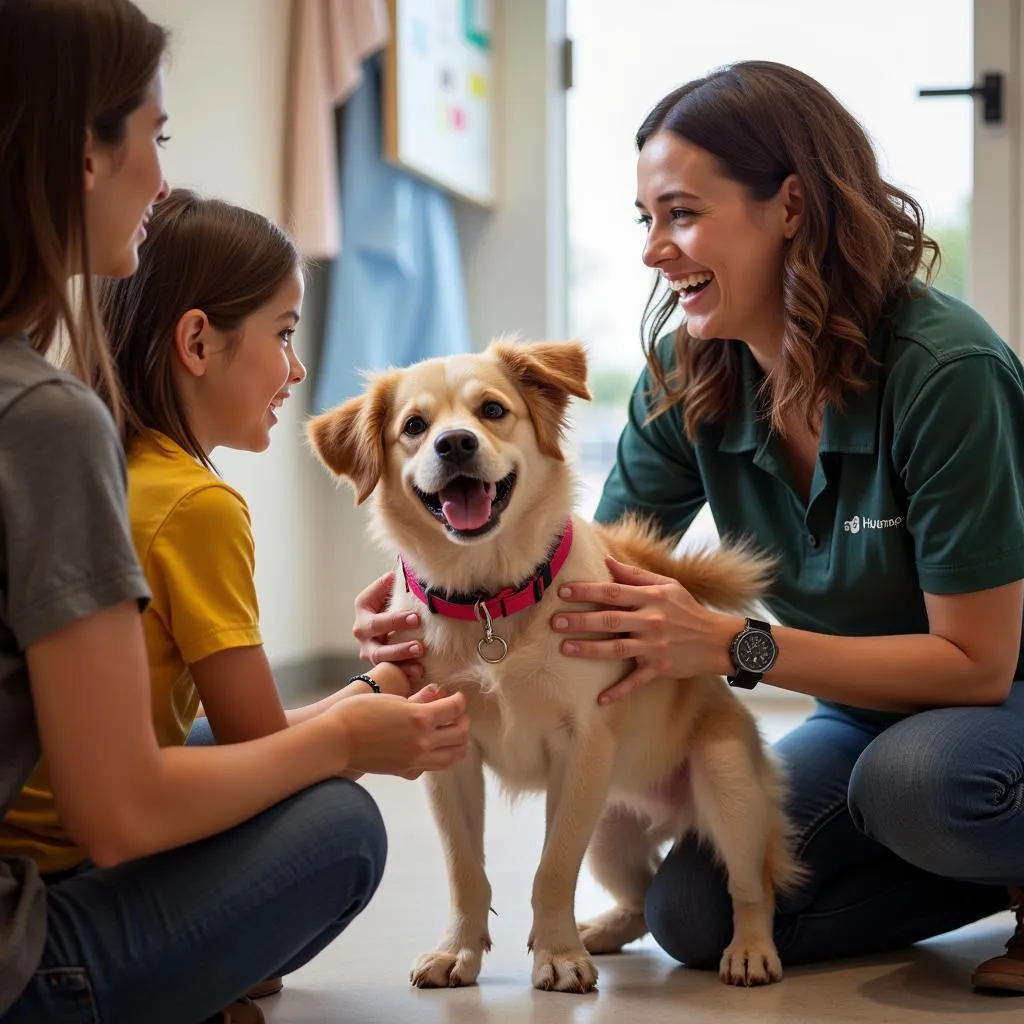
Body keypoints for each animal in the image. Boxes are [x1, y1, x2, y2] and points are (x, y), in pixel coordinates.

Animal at [307, 342, 802, 991]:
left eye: (493, 410)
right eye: (414, 427)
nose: (455, 444)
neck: (489, 598)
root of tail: (670, 818)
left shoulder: (583, 746)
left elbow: (553, 868)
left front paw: (560, 955)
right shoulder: (448, 751)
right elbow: (465, 870)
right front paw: (457, 951)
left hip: (724, 784)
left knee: (749, 886)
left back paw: (749, 951)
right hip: (612, 832)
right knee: (642, 897)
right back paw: (603, 930)